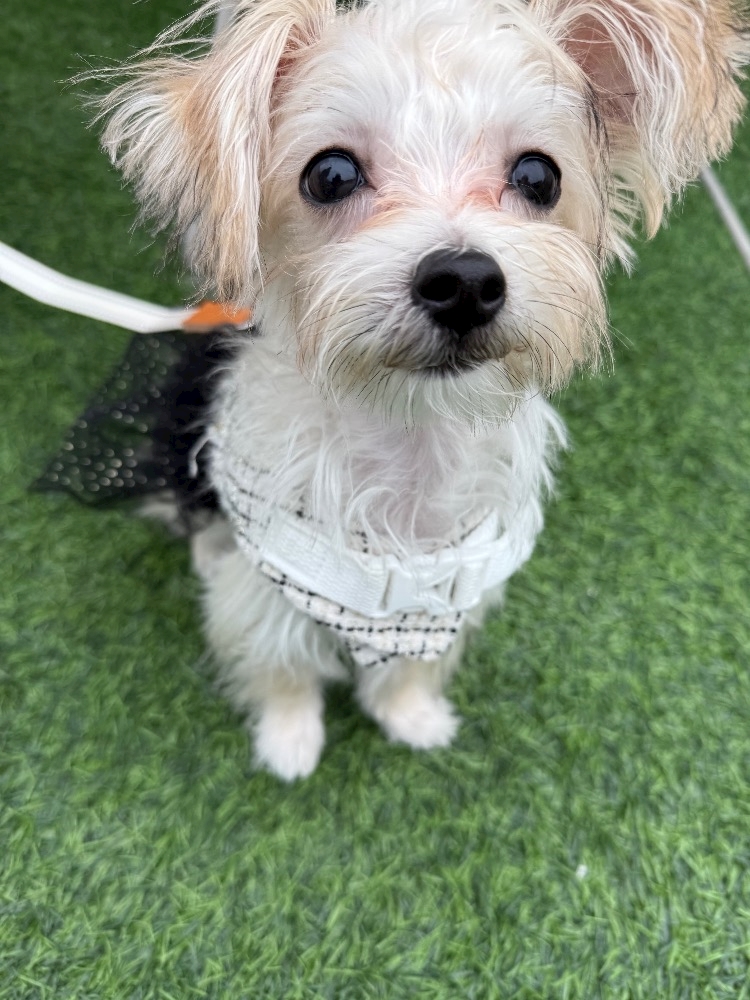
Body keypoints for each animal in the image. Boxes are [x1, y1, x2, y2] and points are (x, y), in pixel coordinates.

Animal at [94, 0, 749, 779]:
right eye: (330, 174)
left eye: (539, 176)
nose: (464, 280)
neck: (413, 442)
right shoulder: (268, 586)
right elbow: (281, 662)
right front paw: (289, 740)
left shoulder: (449, 594)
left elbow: (410, 667)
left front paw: (411, 716)